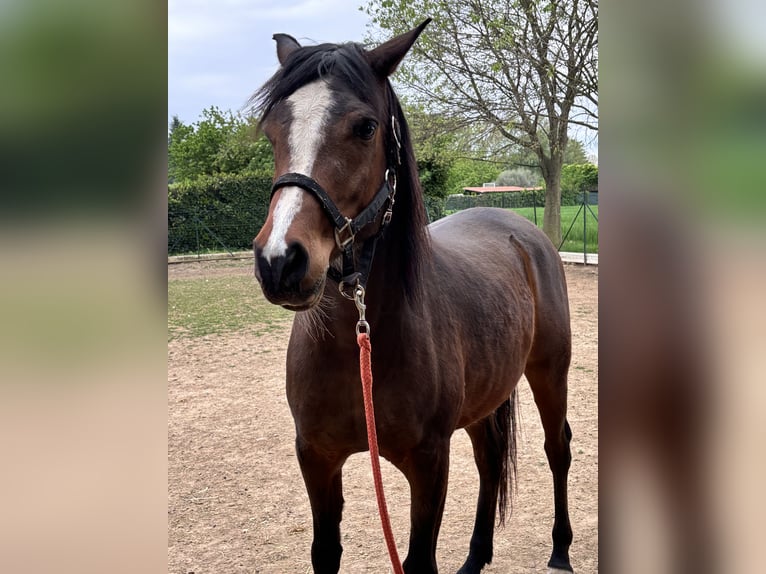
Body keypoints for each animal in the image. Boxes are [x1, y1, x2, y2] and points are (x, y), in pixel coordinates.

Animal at [250, 19, 574, 574]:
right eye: (273, 128)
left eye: (365, 127)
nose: (280, 262)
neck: (359, 343)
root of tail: (519, 228)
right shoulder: (316, 458)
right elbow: (325, 552)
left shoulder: (428, 464)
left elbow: (419, 559)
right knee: (490, 459)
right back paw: (475, 557)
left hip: (549, 374)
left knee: (558, 449)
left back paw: (560, 550)